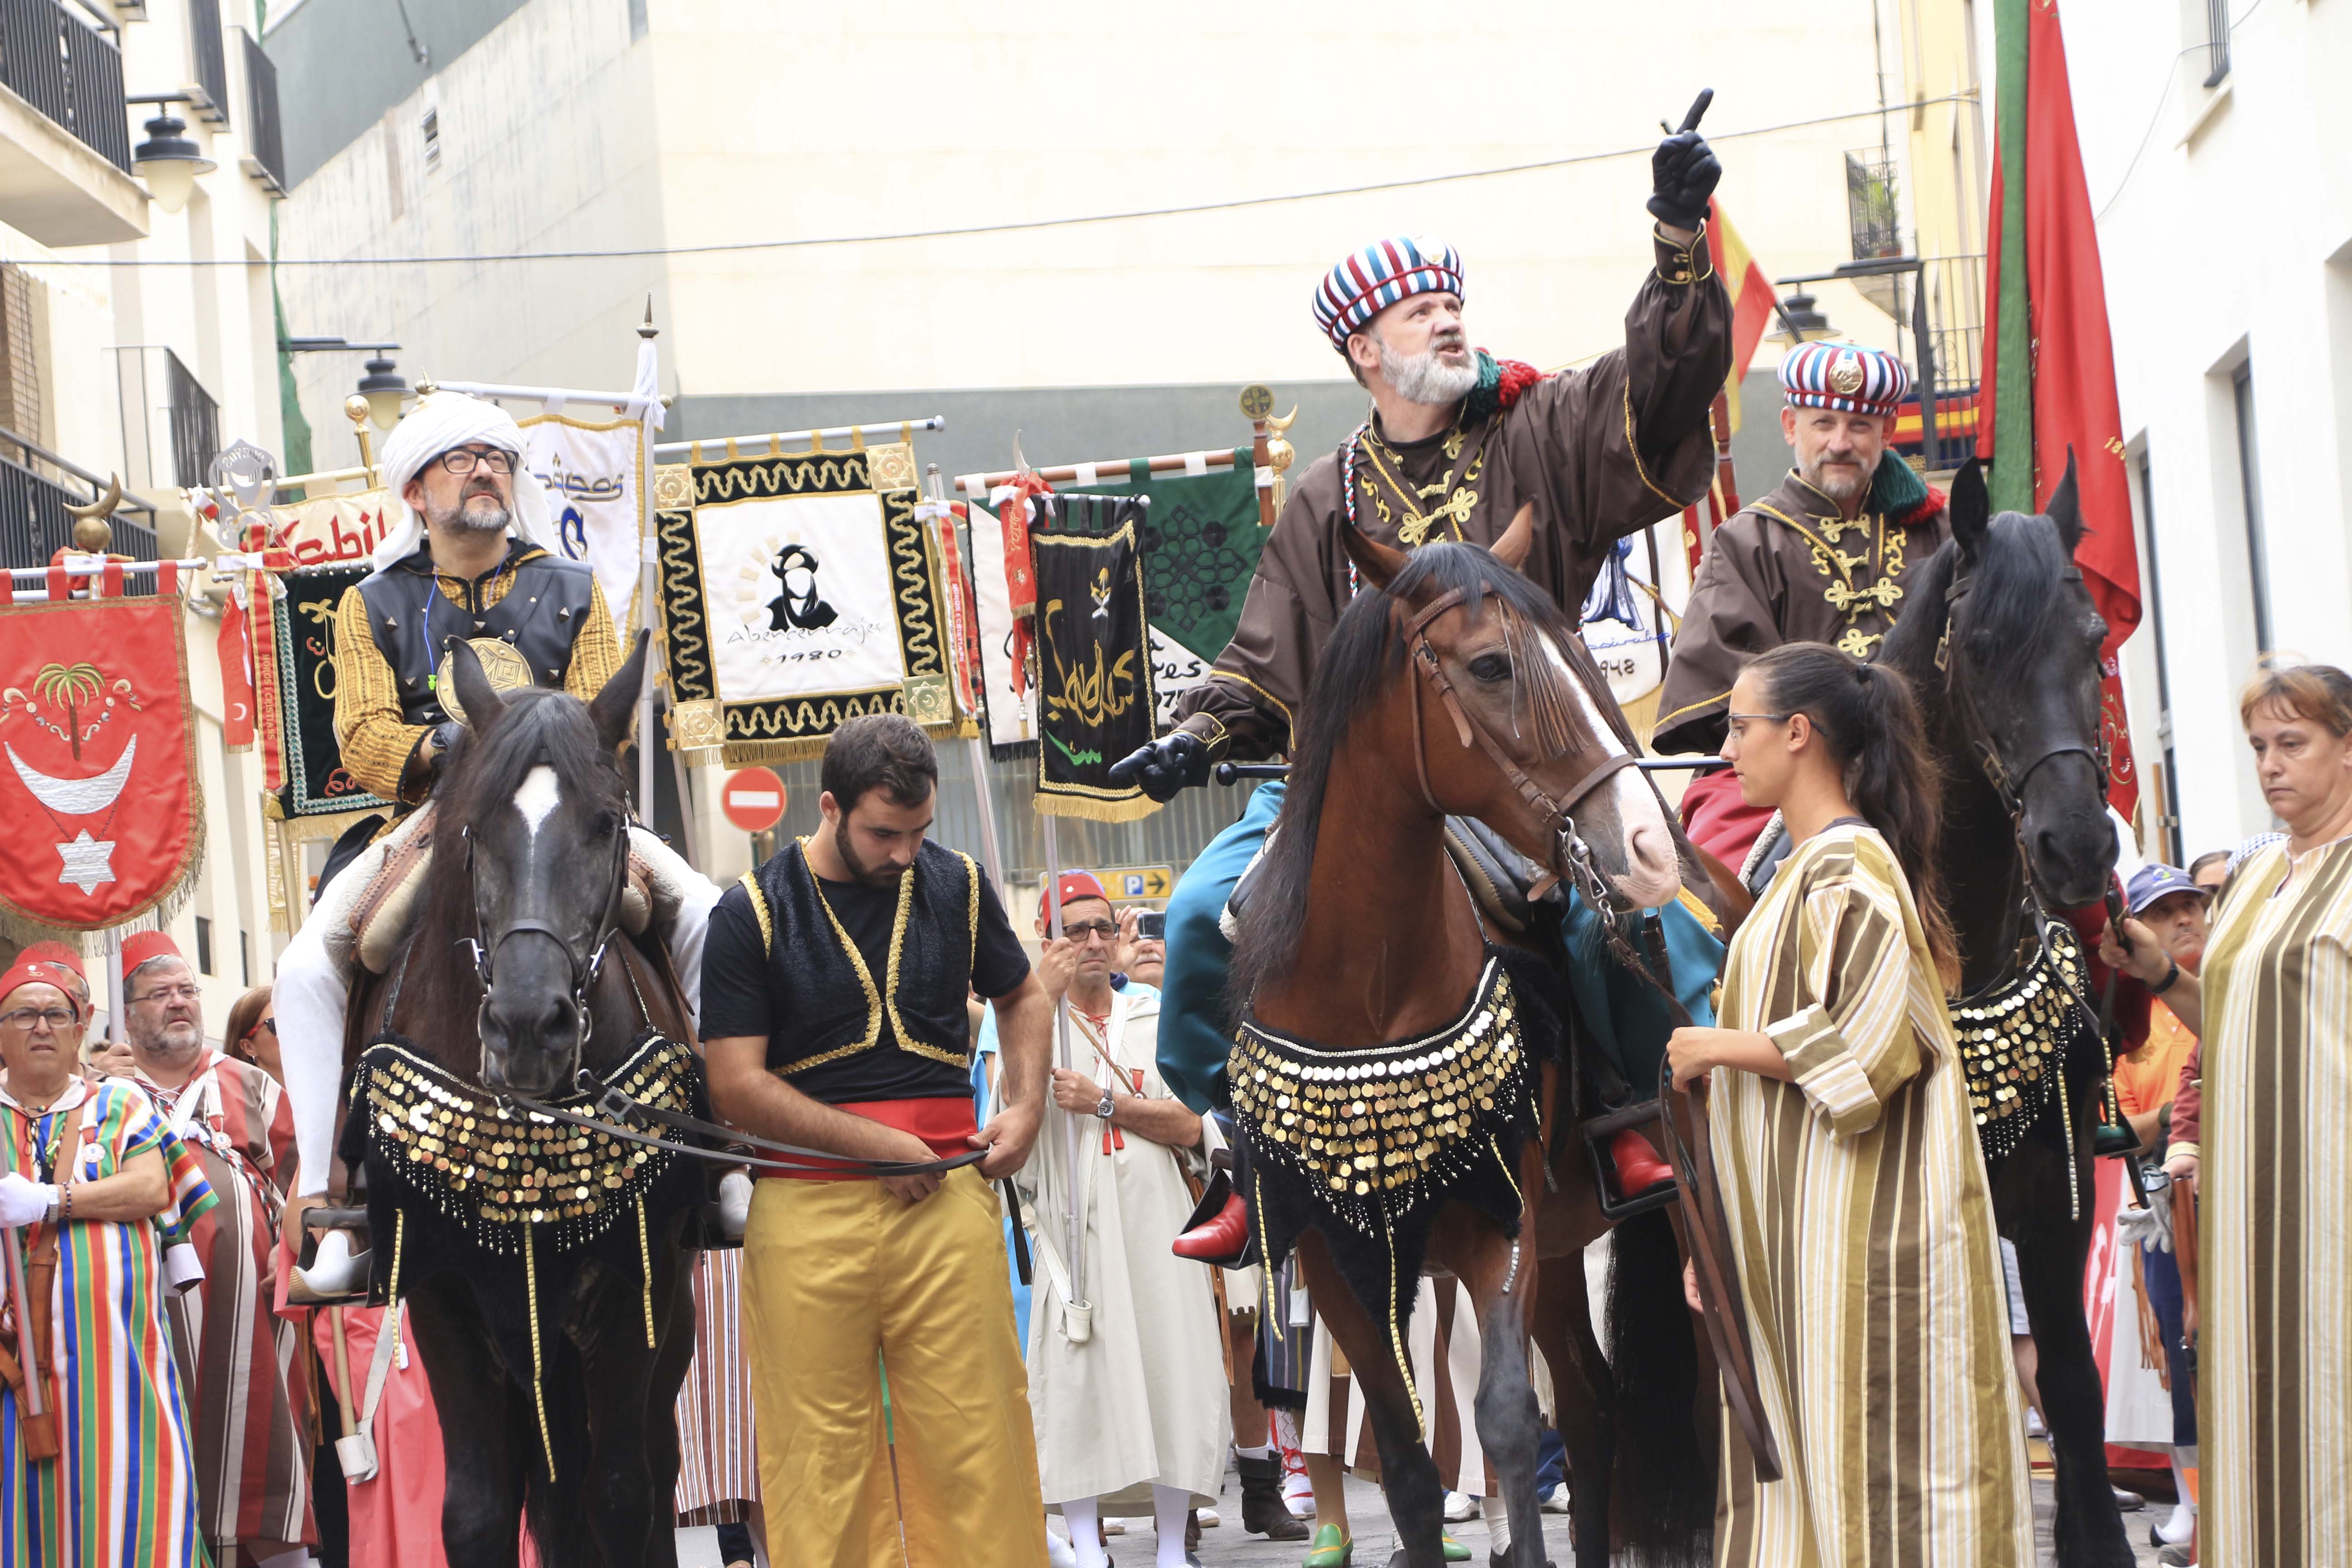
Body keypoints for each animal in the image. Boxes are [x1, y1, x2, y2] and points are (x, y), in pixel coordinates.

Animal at [343, 634, 701, 1568]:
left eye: (608, 823)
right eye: (475, 828)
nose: (528, 1027)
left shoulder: (637, 1286)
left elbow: (623, 1497)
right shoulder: (441, 1294)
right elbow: (478, 1510)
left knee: (646, 1468)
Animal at [1242, 524, 1721, 1568]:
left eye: (1578, 652)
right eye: (1491, 666)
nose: (1649, 848)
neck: (1369, 993)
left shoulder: (1497, 1225)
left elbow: (1503, 1421)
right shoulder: (1337, 1260)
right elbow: (1407, 1468)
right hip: (1563, 1244)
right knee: (1589, 1408)